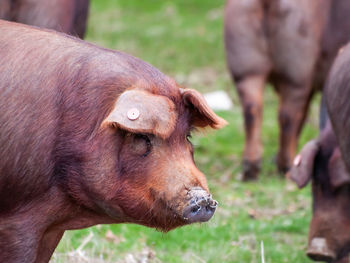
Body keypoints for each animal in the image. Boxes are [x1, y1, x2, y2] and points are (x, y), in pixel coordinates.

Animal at [224, 0, 350, 180]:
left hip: (247, 70)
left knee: (252, 110)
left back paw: (251, 167)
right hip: (295, 76)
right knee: (287, 117)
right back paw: (286, 166)